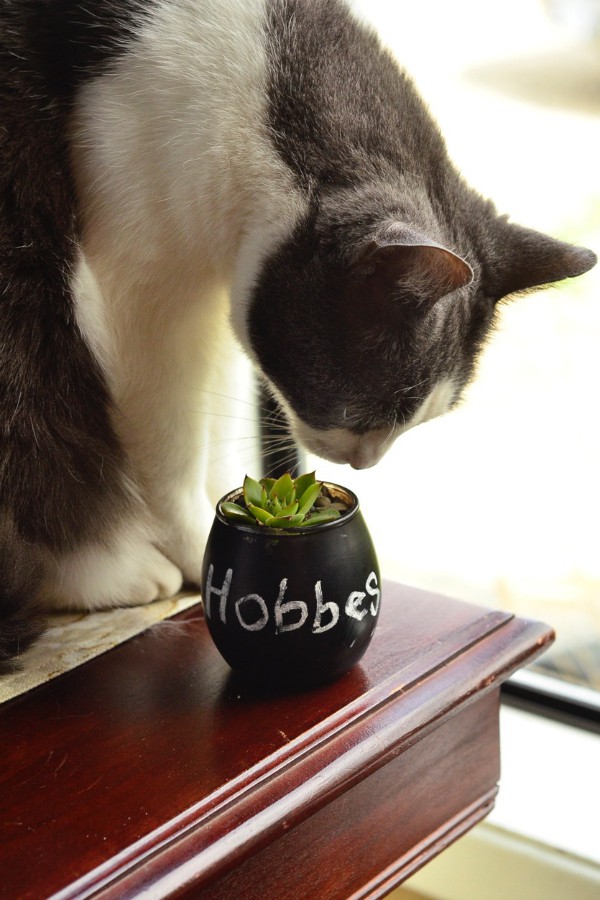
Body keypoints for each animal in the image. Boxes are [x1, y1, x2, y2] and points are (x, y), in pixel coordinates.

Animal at [1, 0, 596, 660]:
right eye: (360, 412)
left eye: (418, 424)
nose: (366, 465)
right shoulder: (140, 295)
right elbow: (170, 447)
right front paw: (194, 547)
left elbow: (211, 434)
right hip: (30, 286)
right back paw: (113, 576)